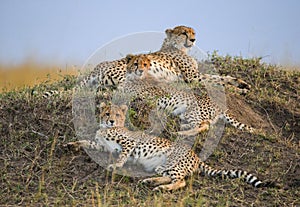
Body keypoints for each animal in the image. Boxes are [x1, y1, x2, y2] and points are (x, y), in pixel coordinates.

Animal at [67, 103, 268, 191]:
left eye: (117, 114)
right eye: (107, 113)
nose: (111, 120)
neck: (106, 128)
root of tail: (195, 155)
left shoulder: (129, 144)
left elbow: (123, 155)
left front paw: (116, 165)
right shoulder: (102, 146)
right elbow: (86, 142)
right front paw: (72, 145)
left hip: (172, 163)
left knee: (181, 181)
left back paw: (162, 188)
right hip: (161, 166)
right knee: (170, 177)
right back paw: (151, 182)